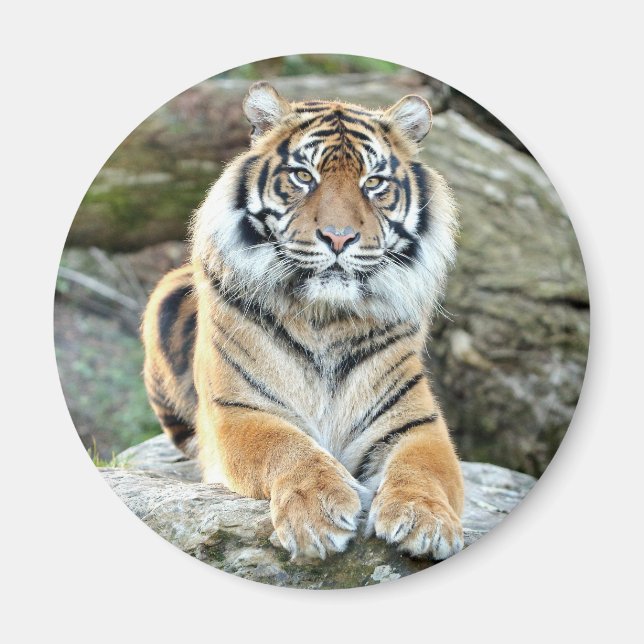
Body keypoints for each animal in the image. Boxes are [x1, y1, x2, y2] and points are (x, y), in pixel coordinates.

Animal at [142, 81, 464, 561]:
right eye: (303, 176)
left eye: (373, 183)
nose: (338, 237)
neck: (325, 318)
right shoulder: (239, 411)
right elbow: (287, 447)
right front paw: (318, 511)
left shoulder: (415, 422)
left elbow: (424, 469)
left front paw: (425, 520)